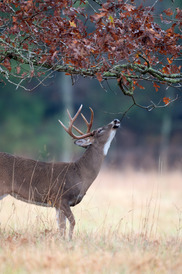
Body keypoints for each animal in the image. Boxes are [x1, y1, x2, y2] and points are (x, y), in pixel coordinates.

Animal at [0, 106, 120, 239]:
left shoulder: (57, 204)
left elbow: (61, 226)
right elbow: (72, 222)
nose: (115, 120)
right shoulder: (61, 197)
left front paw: (62, 240)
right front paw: (69, 240)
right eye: (99, 130)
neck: (80, 174)